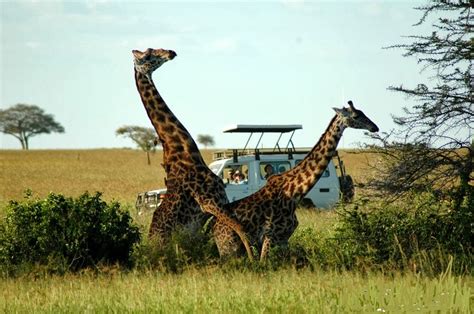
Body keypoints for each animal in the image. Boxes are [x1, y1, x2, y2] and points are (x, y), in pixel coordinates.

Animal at [213, 101, 380, 260]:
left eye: (363, 112)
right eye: (356, 116)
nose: (375, 127)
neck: (294, 192)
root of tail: (215, 229)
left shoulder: (283, 239)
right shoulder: (269, 236)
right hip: (229, 246)